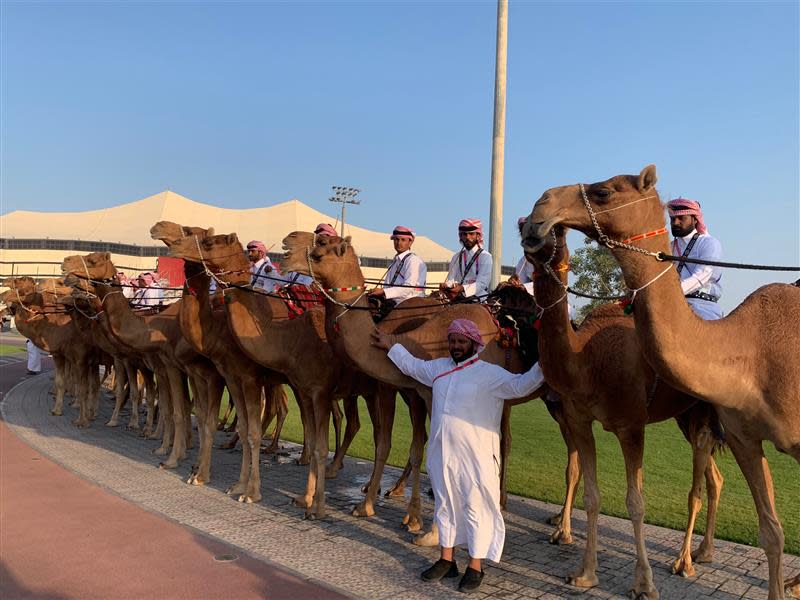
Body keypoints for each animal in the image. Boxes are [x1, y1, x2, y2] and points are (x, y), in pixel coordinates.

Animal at [524, 164, 800, 600]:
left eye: (603, 192)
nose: (538, 211)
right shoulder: (579, 417)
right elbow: (591, 494)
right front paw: (584, 573)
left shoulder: (630, 424)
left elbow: (636, 502)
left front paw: (644, 583)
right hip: (691, 419)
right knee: (715, 481)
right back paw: (704, 553)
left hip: (700, 420)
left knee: (699, 488)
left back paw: (685, 561)